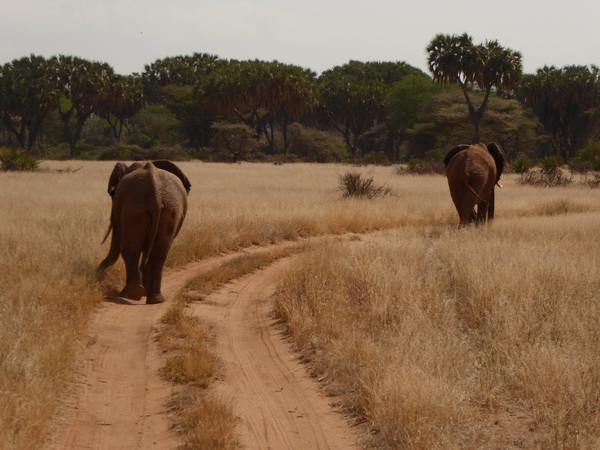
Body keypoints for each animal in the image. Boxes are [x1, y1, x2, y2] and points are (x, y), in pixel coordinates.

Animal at [97, 160, 190, 304]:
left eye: (112, 192)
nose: (98, 275)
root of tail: (156, 194)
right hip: (170, 211)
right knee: (159, 254)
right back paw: (155, 300)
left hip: (133, 209)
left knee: (130, 250)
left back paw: (131, 294)